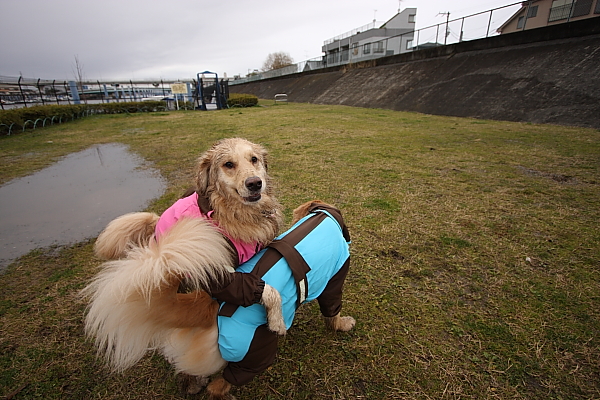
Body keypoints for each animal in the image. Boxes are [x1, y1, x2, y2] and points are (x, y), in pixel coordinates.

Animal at [84, 198, 356, 398]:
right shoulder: (335, 280)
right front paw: (342, 325)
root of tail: (211, 304)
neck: (324, 216)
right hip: (256, 351)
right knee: (221, 384)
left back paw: (193, 383)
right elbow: (332, 310)